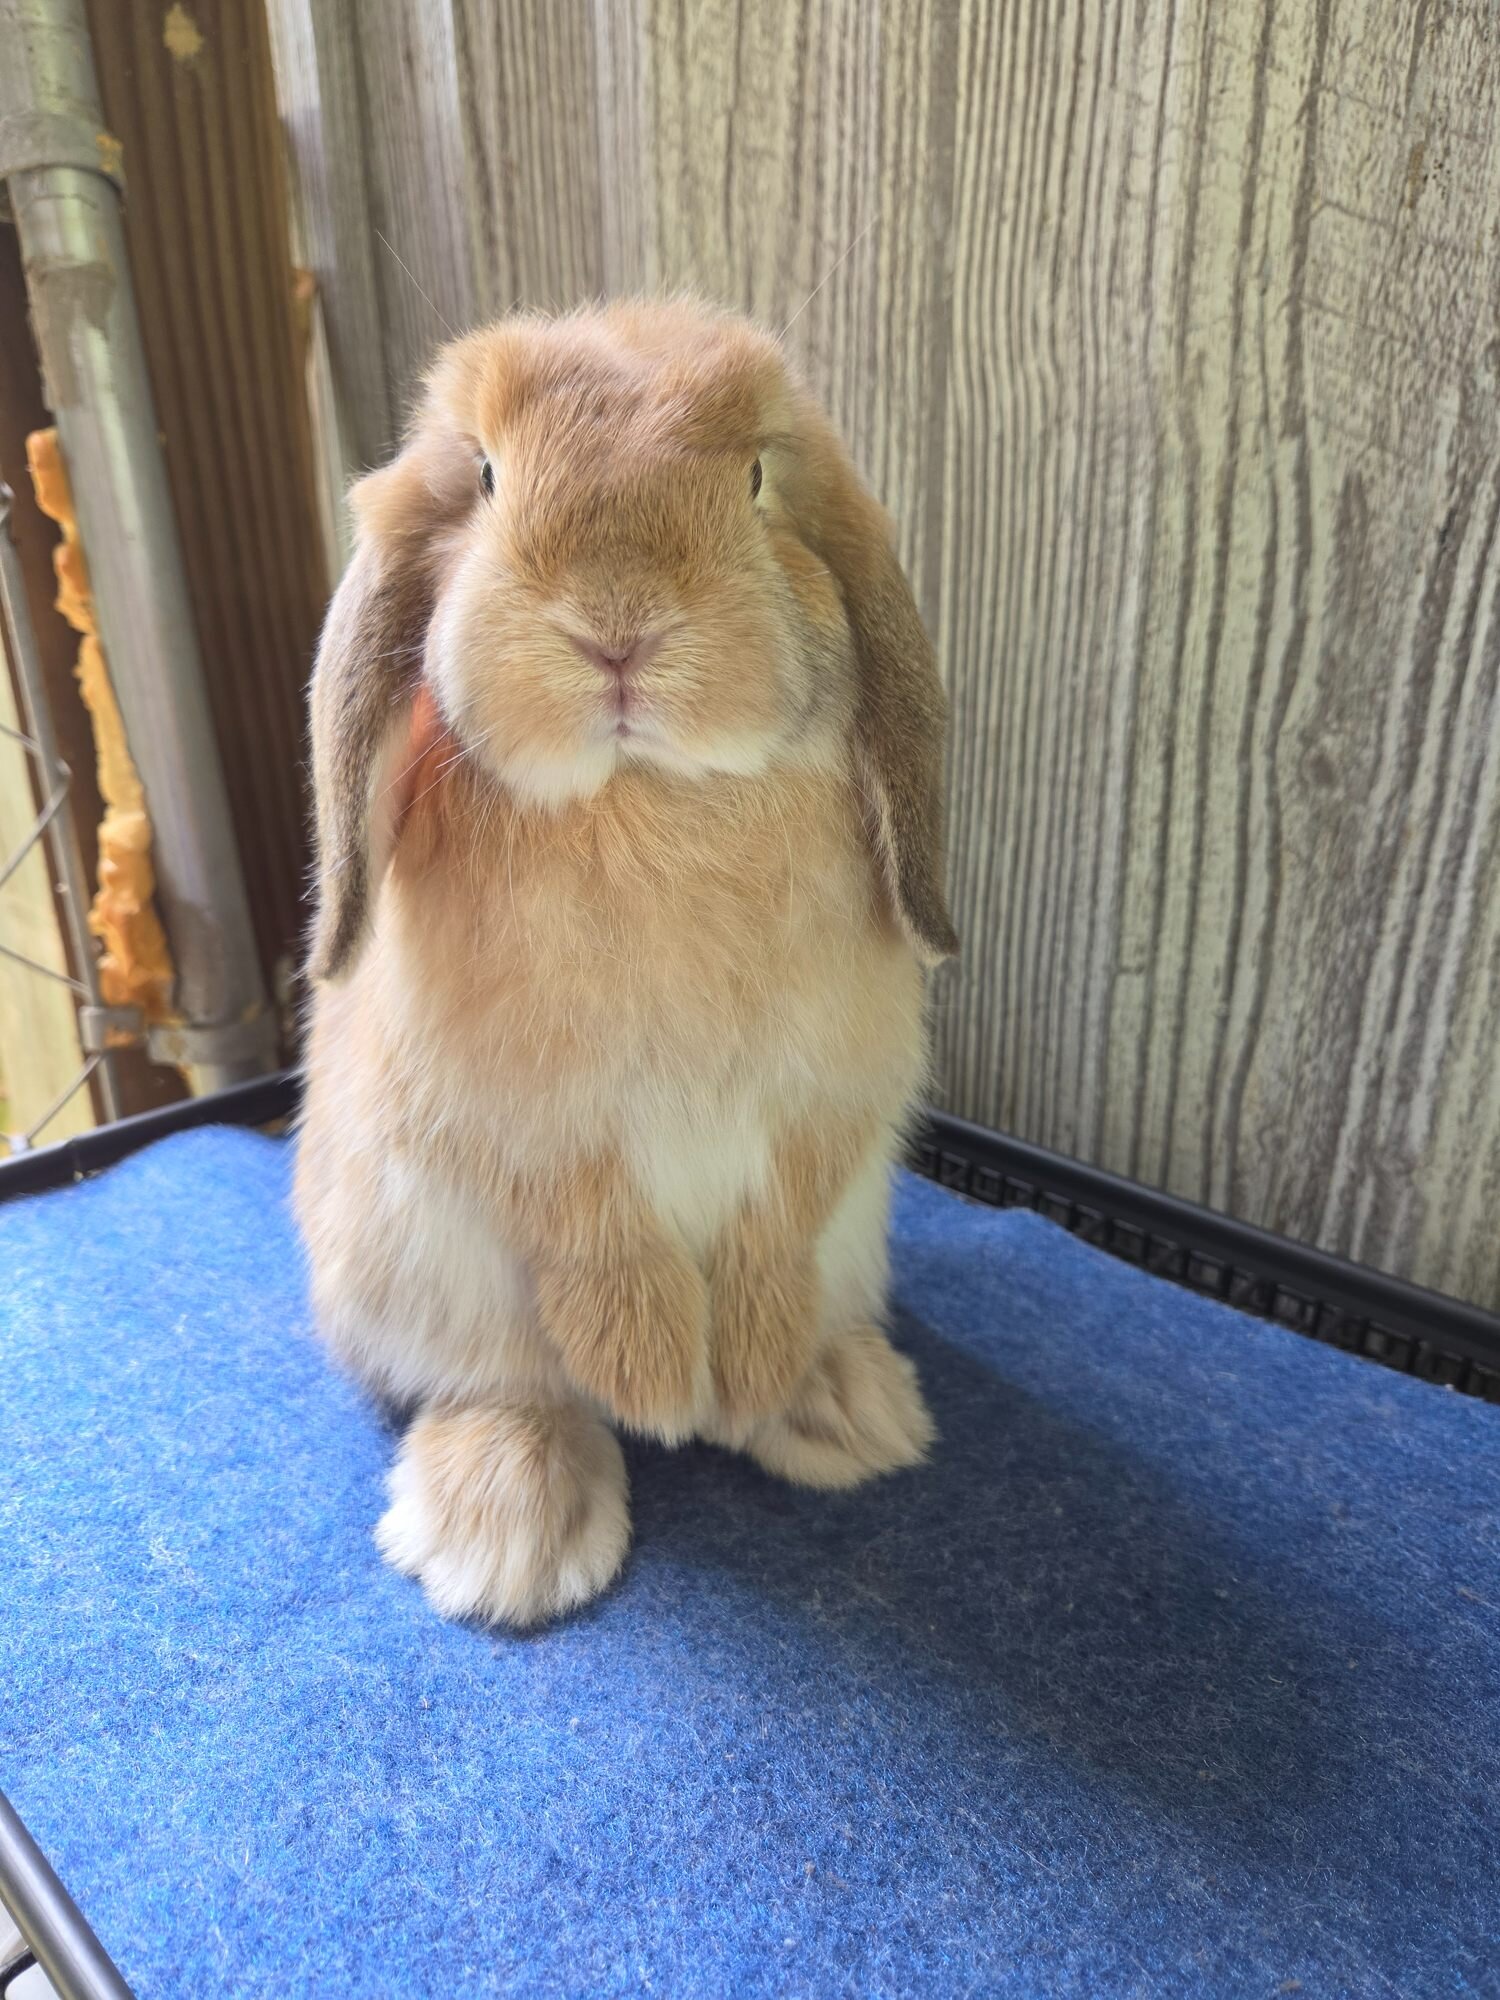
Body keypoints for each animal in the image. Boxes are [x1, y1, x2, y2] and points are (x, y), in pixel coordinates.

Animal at [294, 300, 958, 1628]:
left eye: (756, 477)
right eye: (486, 477)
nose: (617, 628)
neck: (652, 791)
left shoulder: (829, 1103)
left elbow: (772, 1227)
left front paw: (744, 1370)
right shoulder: (526, 1127)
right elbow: (597, 1241)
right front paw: (655, 1381)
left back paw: (841, 1406)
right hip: (428, 1276)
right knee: (505, 1381)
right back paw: (509, 1536)